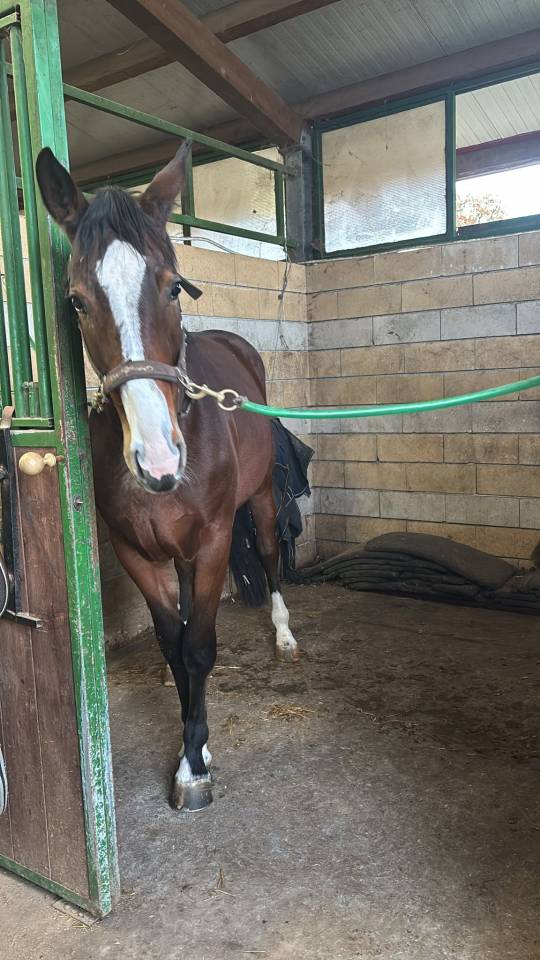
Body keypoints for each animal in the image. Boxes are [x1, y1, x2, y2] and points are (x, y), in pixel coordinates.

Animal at [36, 142, 300, 812]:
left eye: (174, 287)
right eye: (76, 300)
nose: (158, 462)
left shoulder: (213, 540)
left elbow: (199, 646)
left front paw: (194, 768)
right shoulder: (137, 550)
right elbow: (173, 644)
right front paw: (190, 739)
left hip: (260, 500)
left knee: (268, 554)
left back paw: (284, 634)